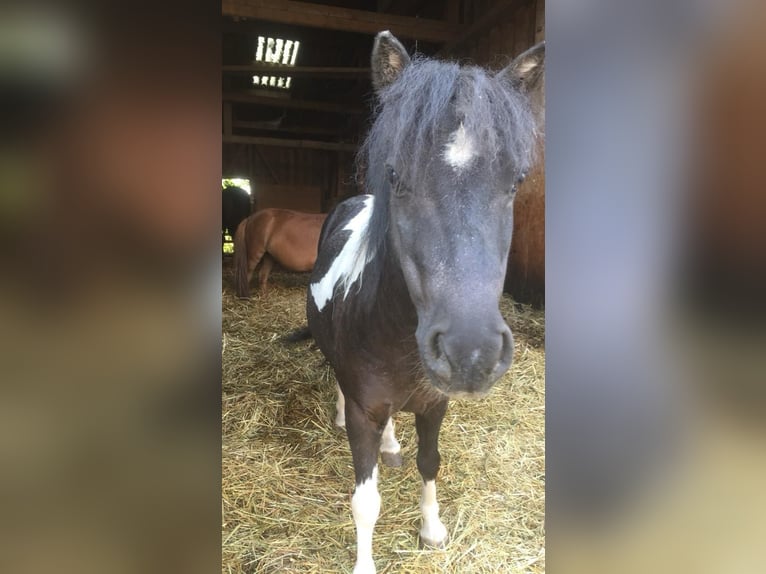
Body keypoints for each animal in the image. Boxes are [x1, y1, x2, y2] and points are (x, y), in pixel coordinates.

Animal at [306, 31, 544, 574]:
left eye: (516, 181)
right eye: (395, 175)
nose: (471, 353)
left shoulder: (435, 404)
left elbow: (429, 462)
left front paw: (432, 530)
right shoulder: (365, 413)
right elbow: (365, 501)